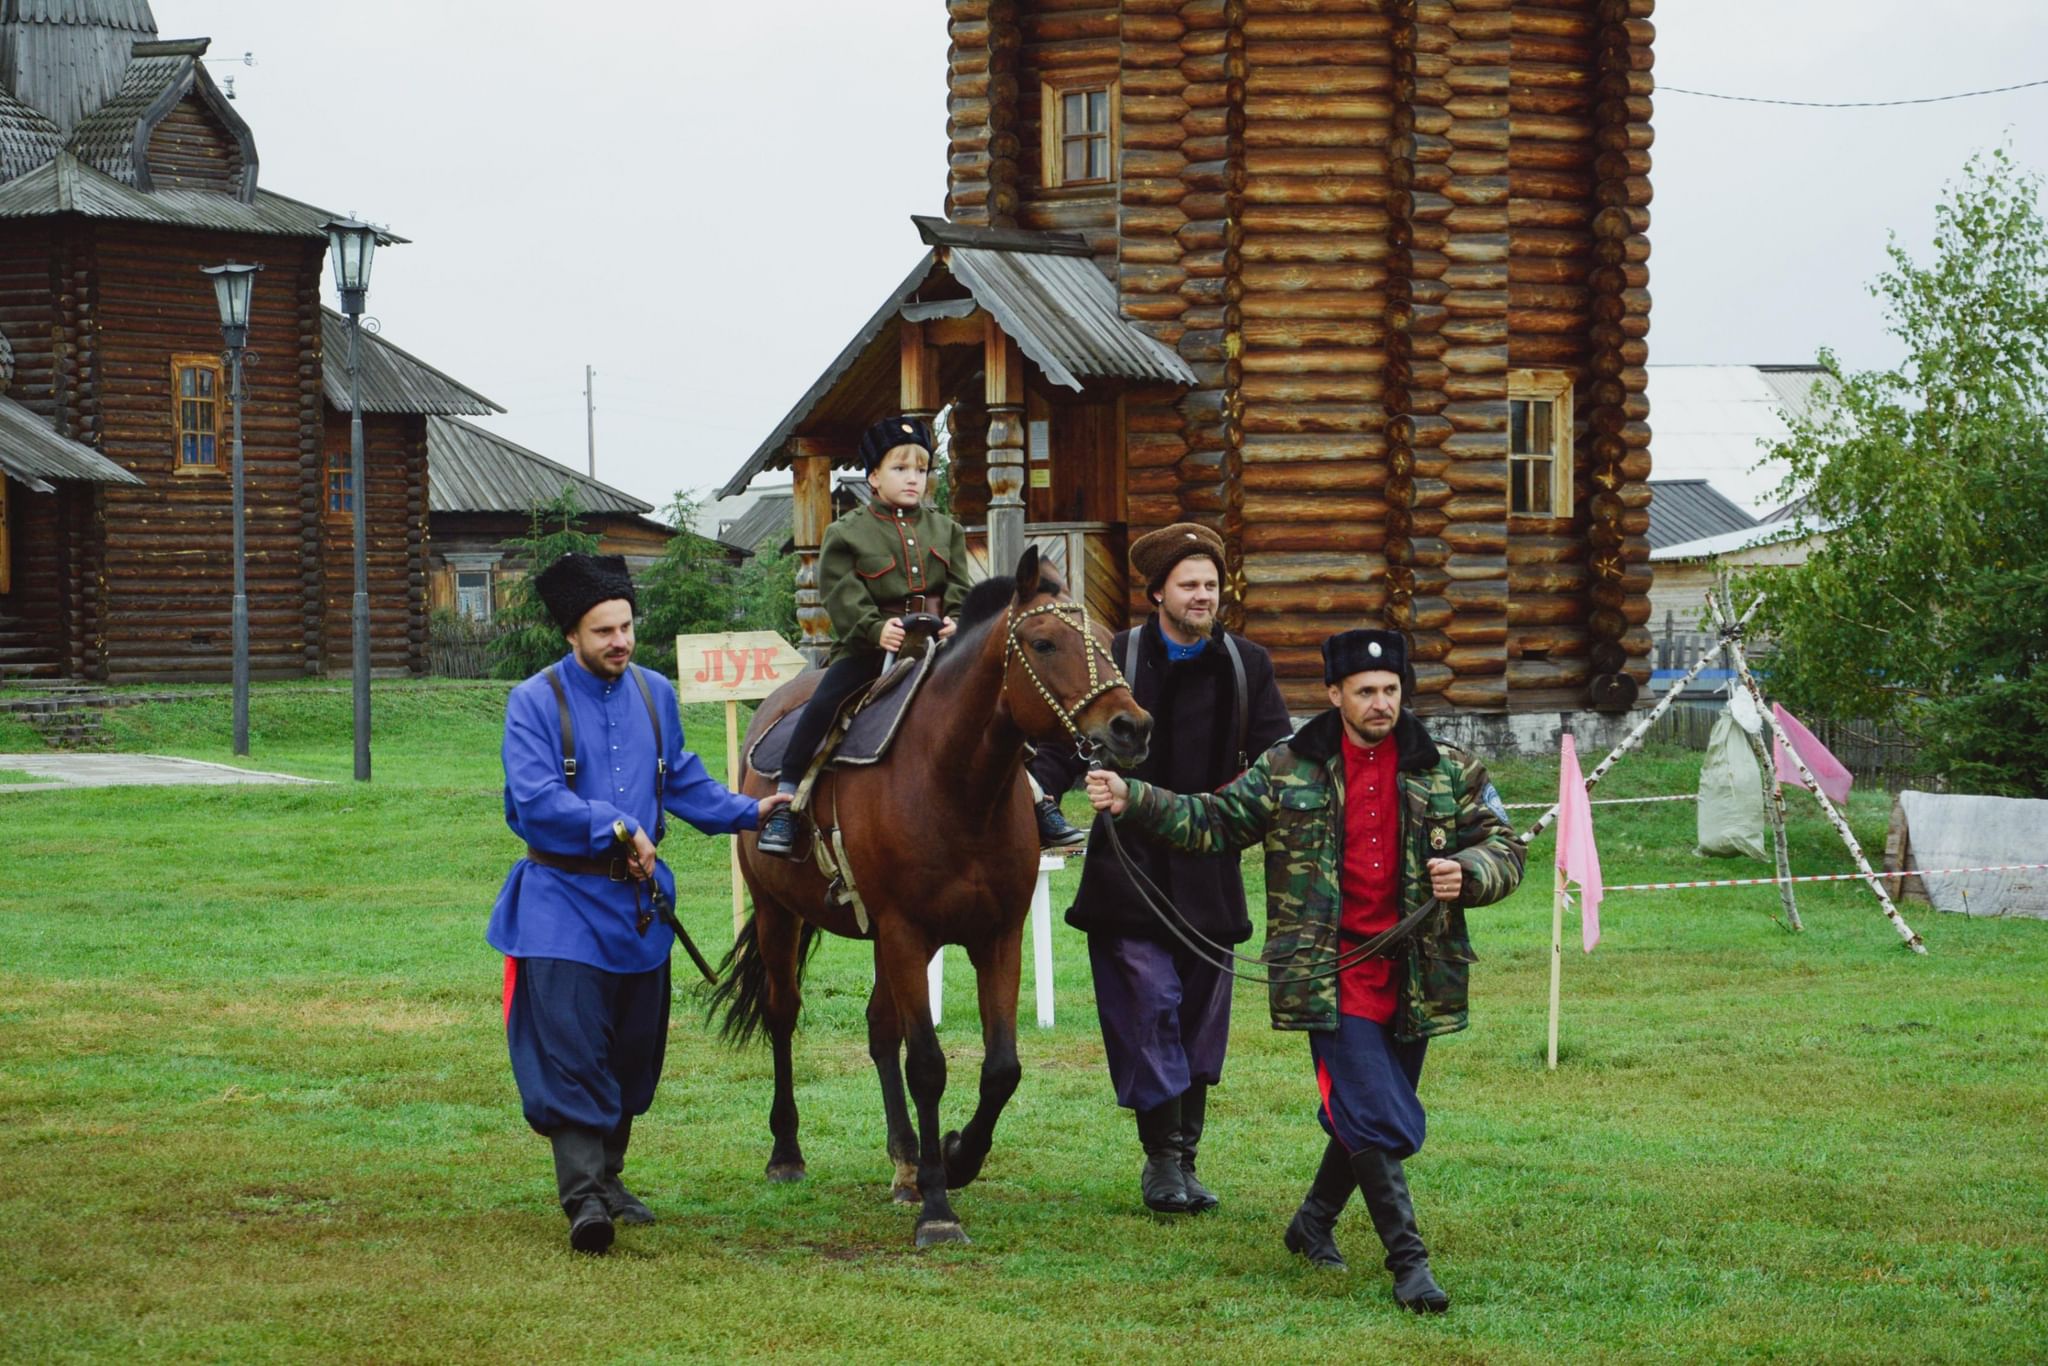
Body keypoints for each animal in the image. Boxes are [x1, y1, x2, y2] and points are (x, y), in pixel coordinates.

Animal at [716, 548, 1155, 1253]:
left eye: (1107, 640)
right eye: (1042, 642)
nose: (1131, 727)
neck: (954, 785)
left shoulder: (995, 937)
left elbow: (1001, 1068)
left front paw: (952, 1158)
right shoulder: (906, 933)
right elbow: (926, 1063)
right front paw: (939, 1208)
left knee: (878, 1029)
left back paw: (903, 1163)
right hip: (779, 916)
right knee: (784, 1016)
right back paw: (787, 1153)